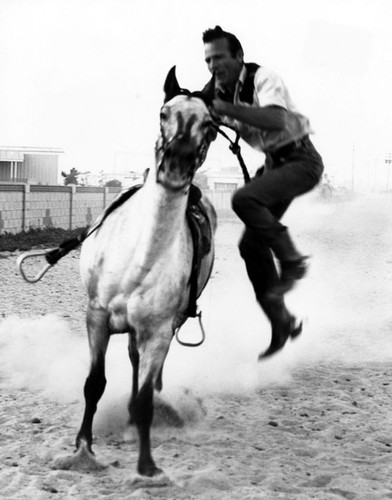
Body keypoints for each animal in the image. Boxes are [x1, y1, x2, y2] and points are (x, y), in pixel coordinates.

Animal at [55, 67, 219, 480]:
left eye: (210, 125)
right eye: (163, 113)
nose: (176, 164)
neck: (138, 259)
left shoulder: (159, 332)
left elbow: (146, 397)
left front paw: (147, 467)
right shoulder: (96, 317)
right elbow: (94, 385)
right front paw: (83, 449)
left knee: (140, 367)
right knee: (128, 359)